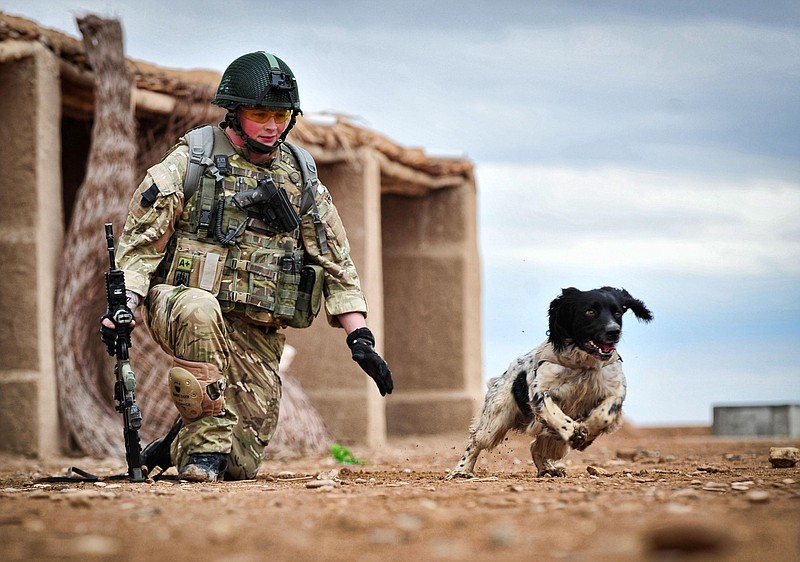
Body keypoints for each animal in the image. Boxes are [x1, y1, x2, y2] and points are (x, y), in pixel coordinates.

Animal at [446, 284, 652, 476]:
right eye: (590, 311)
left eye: (617, 312)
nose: (614, 331)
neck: (583, 363)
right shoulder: (540, 391)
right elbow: (555, 414)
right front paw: (574, 432)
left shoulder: (616, 390)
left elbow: (605, 414)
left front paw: (587, 430)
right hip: (494, 421)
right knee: (475, 442)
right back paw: (461, 471)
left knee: (536, 446)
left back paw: (548, 469)